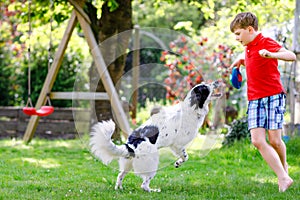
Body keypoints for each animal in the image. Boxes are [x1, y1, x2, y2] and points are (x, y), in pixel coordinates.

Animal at [89, 80, 220, 191]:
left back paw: (119, 188)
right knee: (144, 185)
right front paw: (178, 163)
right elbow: (185, 156)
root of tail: (131, 144)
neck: (191, 108)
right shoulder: (178, 145)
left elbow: (184, 157)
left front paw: (177, 163)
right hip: (152, 162)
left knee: (120, 175)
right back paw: (153, 190)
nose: (217, 81)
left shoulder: (175, 146)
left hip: (128, 164)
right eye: (206, 87)